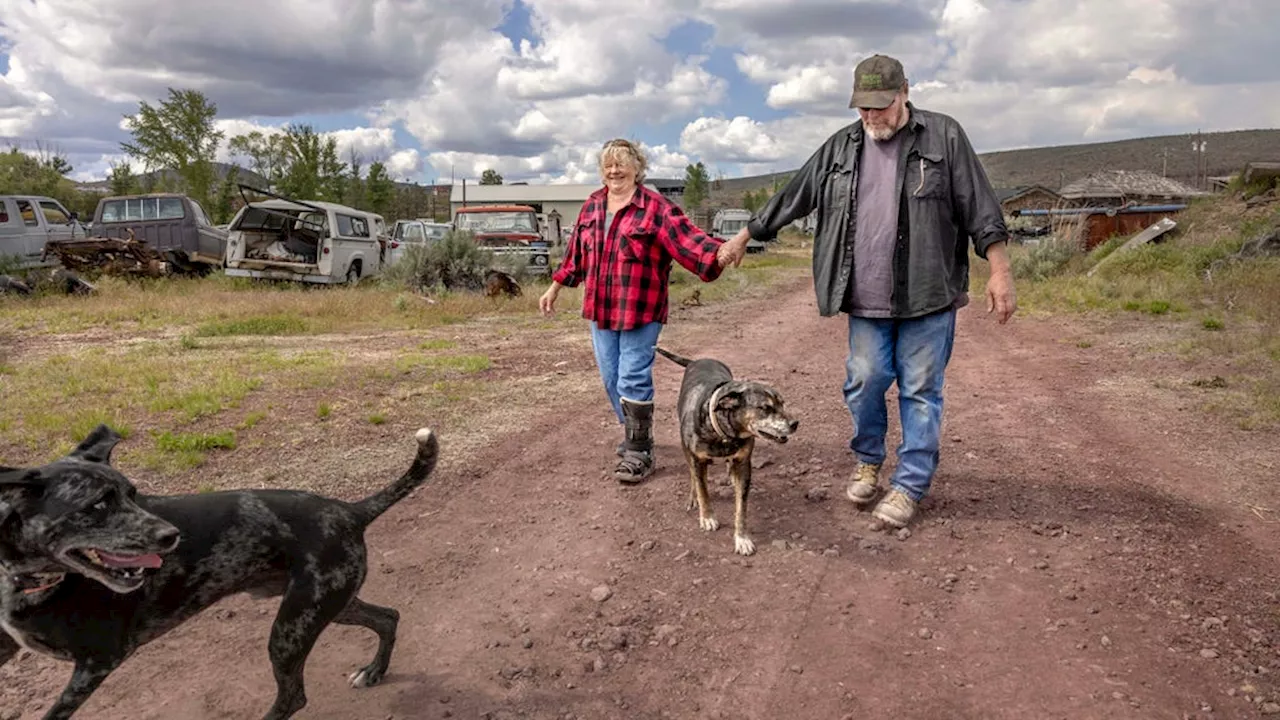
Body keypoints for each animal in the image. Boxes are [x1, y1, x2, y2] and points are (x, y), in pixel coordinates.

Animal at [0, 422, 440, 712]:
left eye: (132, 494)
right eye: (95, 505)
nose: (172, 536)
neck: (28, 578)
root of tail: (350, 510)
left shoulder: (95, 663)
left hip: (291, 630)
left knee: (293, 696)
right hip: (329, 604)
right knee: (388, 616)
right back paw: (374, 670)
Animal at [655, 345, 793, 550]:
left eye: (782, 404)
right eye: (765, 408)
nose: (795, 423)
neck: (723, 433)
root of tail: (698, 360)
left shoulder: (744, 464)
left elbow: (741, 508)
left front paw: (742, 538)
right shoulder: (696, 459)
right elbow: (703, 490)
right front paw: (707, 517)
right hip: (687, 451)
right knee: (693, 476)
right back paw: (693, 496)